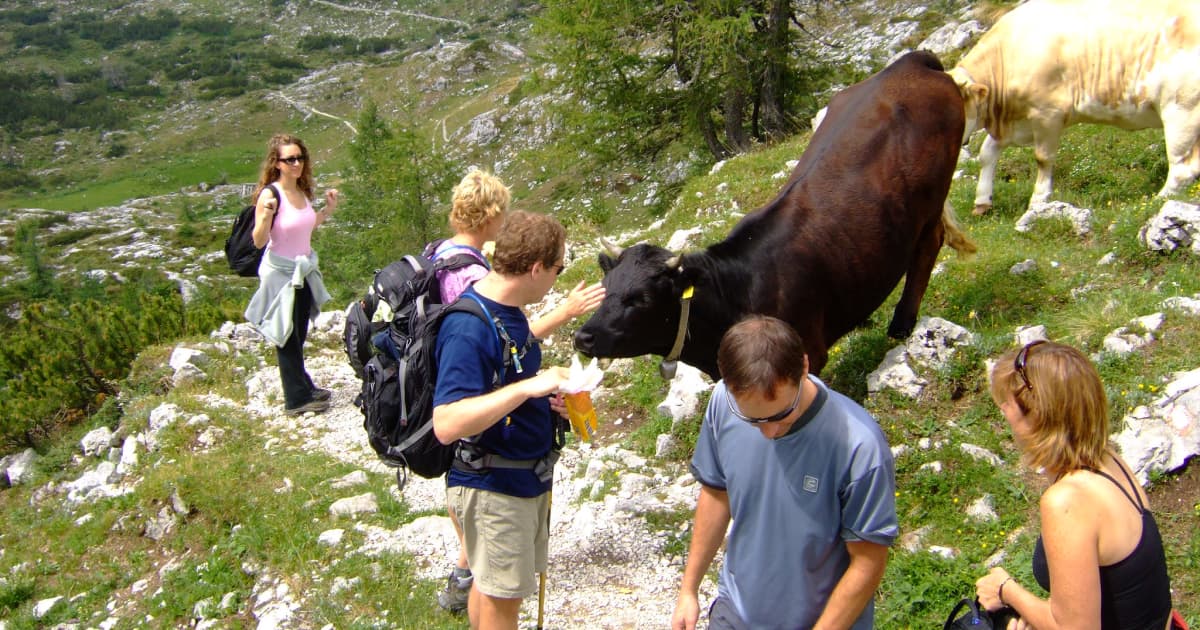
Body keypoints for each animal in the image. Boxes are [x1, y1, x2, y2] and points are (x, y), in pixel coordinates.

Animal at [571, 50, 974, 379]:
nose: (583, 337)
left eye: (639, 299)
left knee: (928, 247)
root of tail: (907, 63)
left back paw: (902, 325)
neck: (735, 294)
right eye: (605, 289)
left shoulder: (808, 355)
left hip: (932, 199)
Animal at [950, 0, 1195, 213]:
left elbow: (1043, 157)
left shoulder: (1047, 113)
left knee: (1182, 167)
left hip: (1180, 109)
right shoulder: (1017, 122)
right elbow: (987, 153)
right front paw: (982, 202)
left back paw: (1157, 201)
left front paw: (1038, 201)